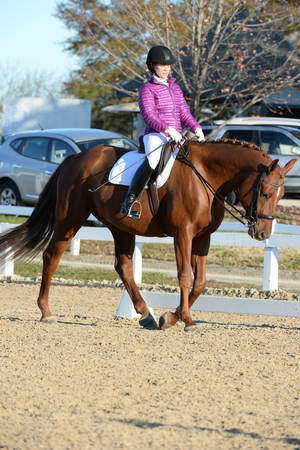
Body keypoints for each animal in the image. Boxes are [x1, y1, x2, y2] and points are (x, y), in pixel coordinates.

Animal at [0, 139, 296, 332]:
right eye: (266, 193)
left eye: (282, 194)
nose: (263, 232)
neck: (206, 176)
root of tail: (75, 158)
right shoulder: (183, 234)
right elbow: (185, 276)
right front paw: (186, 320)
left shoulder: (203, 238)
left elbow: (200, 282)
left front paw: (171, 317)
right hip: (69, 220)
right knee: (52, 256)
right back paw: (46, 311)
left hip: (120, 227)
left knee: (123, 266)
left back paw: (146, 315)